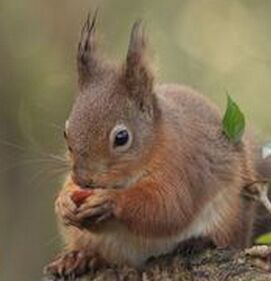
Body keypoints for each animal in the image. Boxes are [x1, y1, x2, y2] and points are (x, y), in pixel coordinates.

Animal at [44, 13, 270, 278]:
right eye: (65, 132)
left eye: (121, 138)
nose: (84, 181)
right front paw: (64, 203)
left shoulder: (183, 165)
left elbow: (167, 207)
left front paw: (111, 201)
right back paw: (79, 257)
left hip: (230, 217)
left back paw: (197, 242)